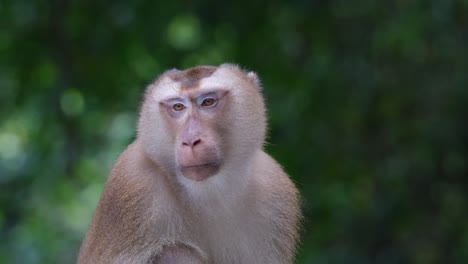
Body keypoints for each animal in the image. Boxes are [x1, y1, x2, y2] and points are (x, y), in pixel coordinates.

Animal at [77, 63, 302, 262]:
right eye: (178, 106)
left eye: (208, 102)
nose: (191, 140)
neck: (208, 192)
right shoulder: (132, 182)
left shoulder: (274, 191)